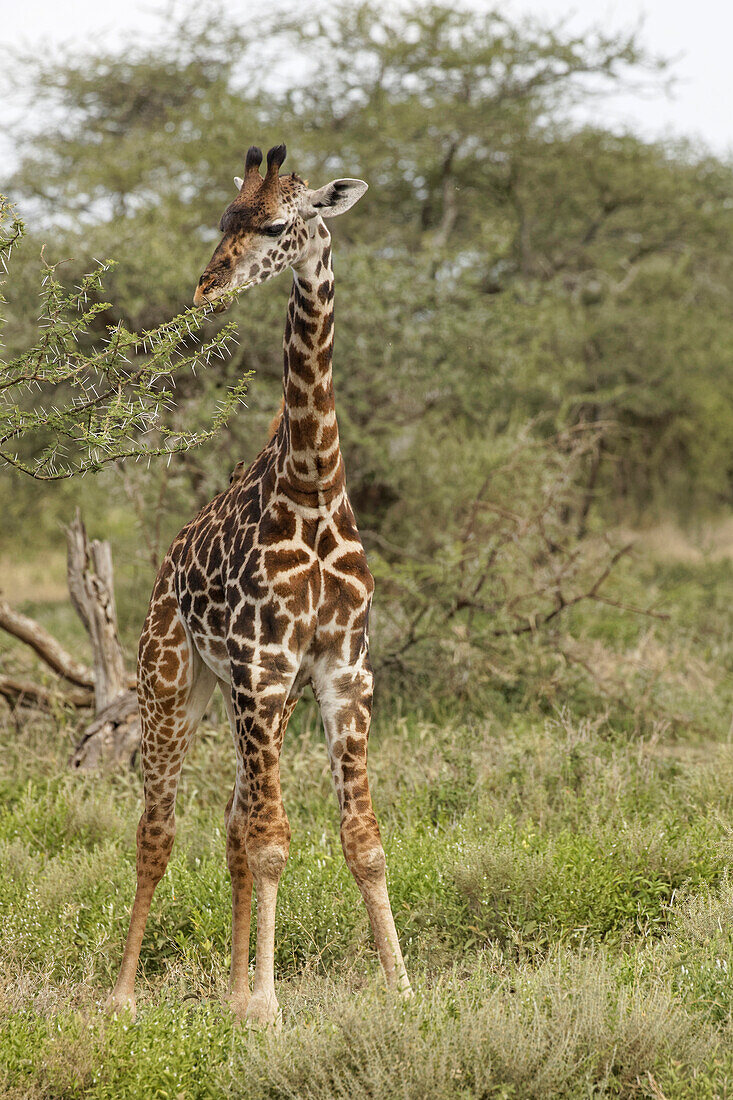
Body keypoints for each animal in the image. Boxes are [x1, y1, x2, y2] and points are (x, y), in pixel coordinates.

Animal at [106, 144, 411, 1020]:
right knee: (159, 829)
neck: (312, 487)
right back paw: (121, 997)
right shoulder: (261, 665)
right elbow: (276, 842)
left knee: (232, 826)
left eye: (277, 225)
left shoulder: (341, 671)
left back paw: (234, 991)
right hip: (173, 680)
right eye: (223, 219)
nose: (206, 286)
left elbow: (360, 841)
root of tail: (167, 562)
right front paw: (272, 1010)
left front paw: (401, 990)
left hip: (249, 700)